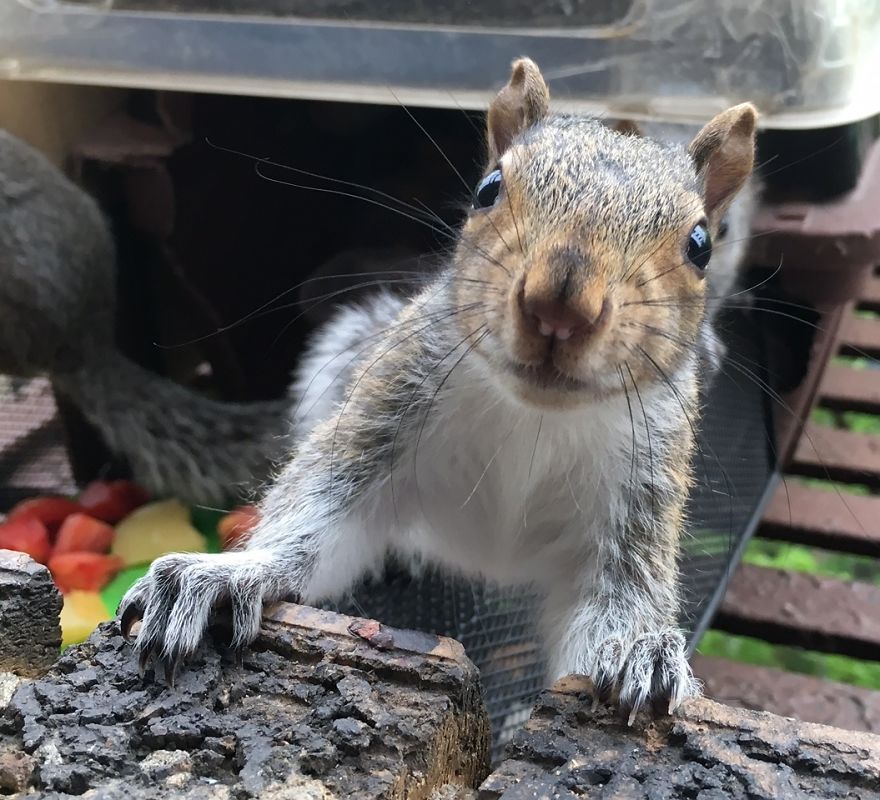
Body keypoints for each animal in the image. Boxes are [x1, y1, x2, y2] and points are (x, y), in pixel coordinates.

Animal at [120, 58, 758, 720]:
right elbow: (319, 516)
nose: (560, 307)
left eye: (701, 244)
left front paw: (639, 654)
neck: (537, 417)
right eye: (488, 189)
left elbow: (613, 604)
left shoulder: (639, 495)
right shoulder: (384, 413)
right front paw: (232, 574)